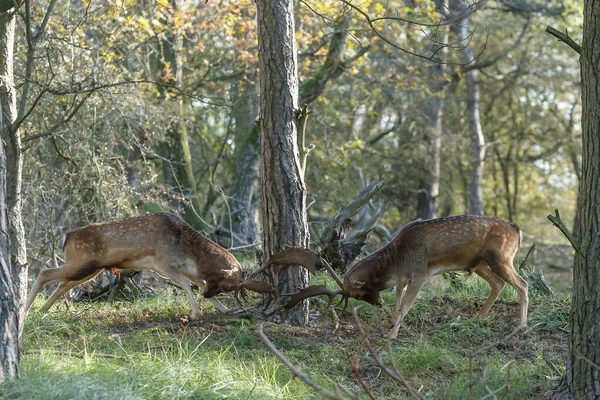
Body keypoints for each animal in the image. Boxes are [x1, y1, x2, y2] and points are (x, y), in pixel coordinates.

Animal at [23, 212, 244, 318]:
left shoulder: (185, 269)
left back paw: (42, 309)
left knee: (61, 284)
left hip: (88, 268)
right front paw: (195, 314)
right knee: (45, 272)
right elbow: (188, 285)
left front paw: (223, 309)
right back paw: (25, 308)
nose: (207, 296)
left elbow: (199, 282)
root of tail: (66, 237)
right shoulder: (163, 263)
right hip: (81, 263)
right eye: (228, 284)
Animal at [241, 216, 528, 338]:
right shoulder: (403, 279)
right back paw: (480, 317)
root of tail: (517, 229)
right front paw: (390, 323)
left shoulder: (420, 273)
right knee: (498, 284)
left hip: (501, 257)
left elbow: (406, 306)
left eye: (357, 292)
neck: (397, 261)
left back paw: (520, 326)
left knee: (522, 283)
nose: (377, 303)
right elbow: (398, 300)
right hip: (479, 263)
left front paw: (392, 335)